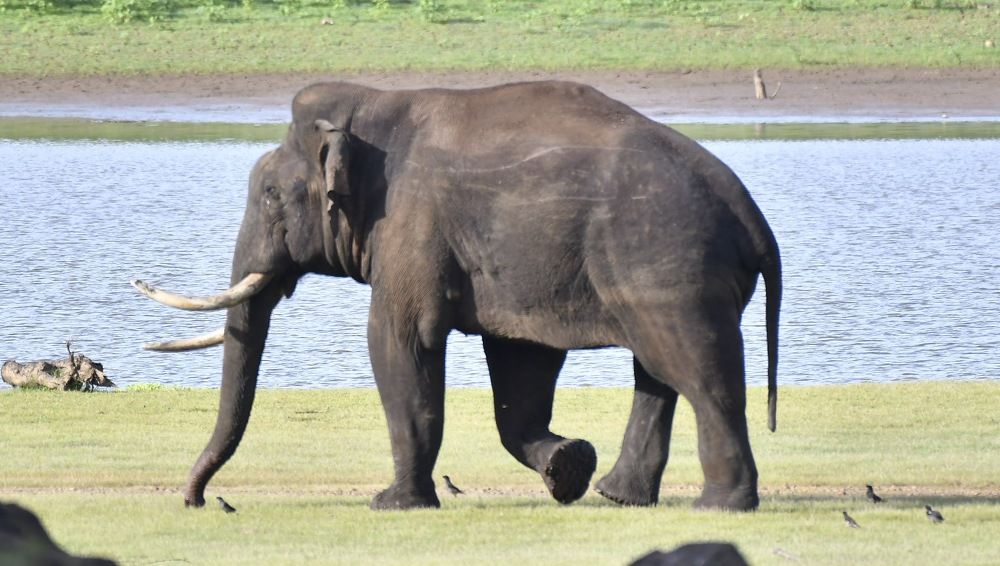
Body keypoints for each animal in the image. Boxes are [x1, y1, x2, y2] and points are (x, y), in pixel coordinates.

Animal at [133, 80, 781, 512]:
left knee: (698, 373)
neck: (375, 108)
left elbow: (398, 340)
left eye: (269, 194)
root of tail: (752, 217)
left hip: (670, 264)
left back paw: (719, 506)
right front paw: (567, 466)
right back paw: (620, 497)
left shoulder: (410, 224)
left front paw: (391, 504)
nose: (197, 501)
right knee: (659, 371)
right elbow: (520, 365)